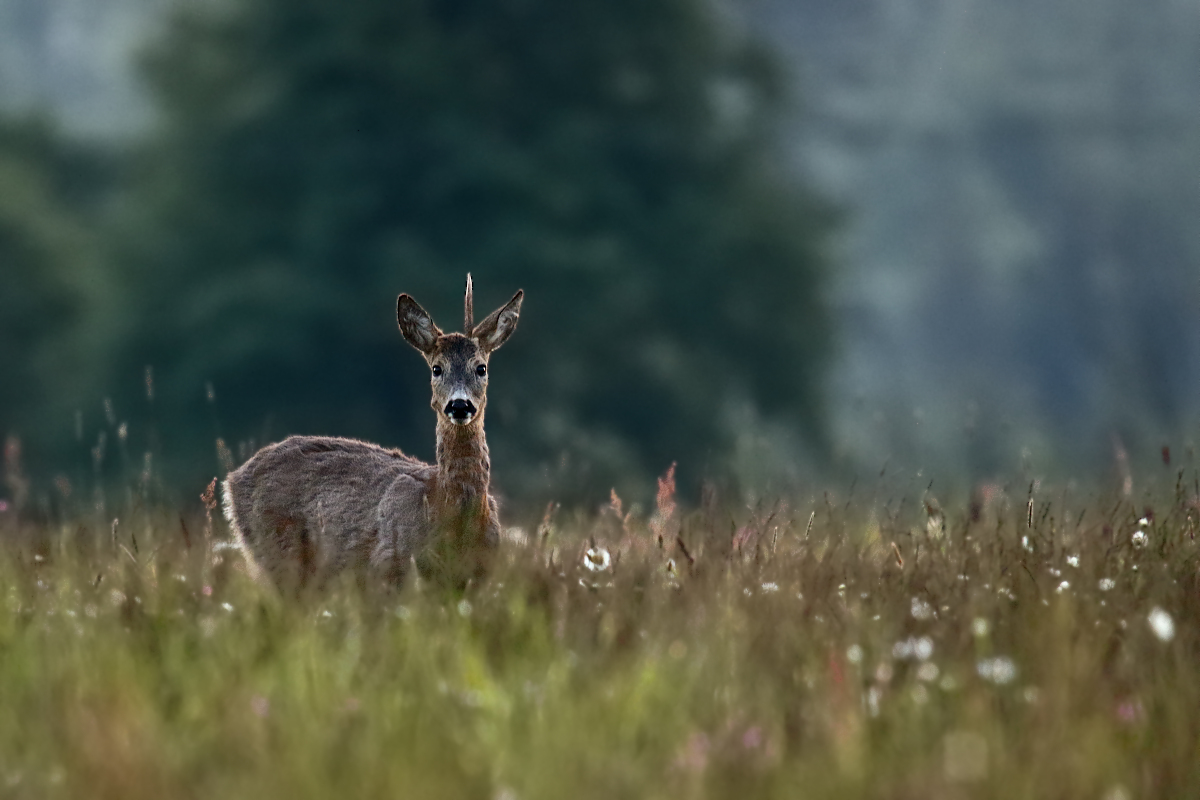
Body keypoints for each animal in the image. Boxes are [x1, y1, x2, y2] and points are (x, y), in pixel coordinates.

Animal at [223, 277, 523, 594]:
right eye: (436, 368)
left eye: (481, 368)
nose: (459, 405)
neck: (454, 516)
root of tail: (232, 480)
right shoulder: (388, 565)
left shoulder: (478, 576)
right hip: (278, 551)